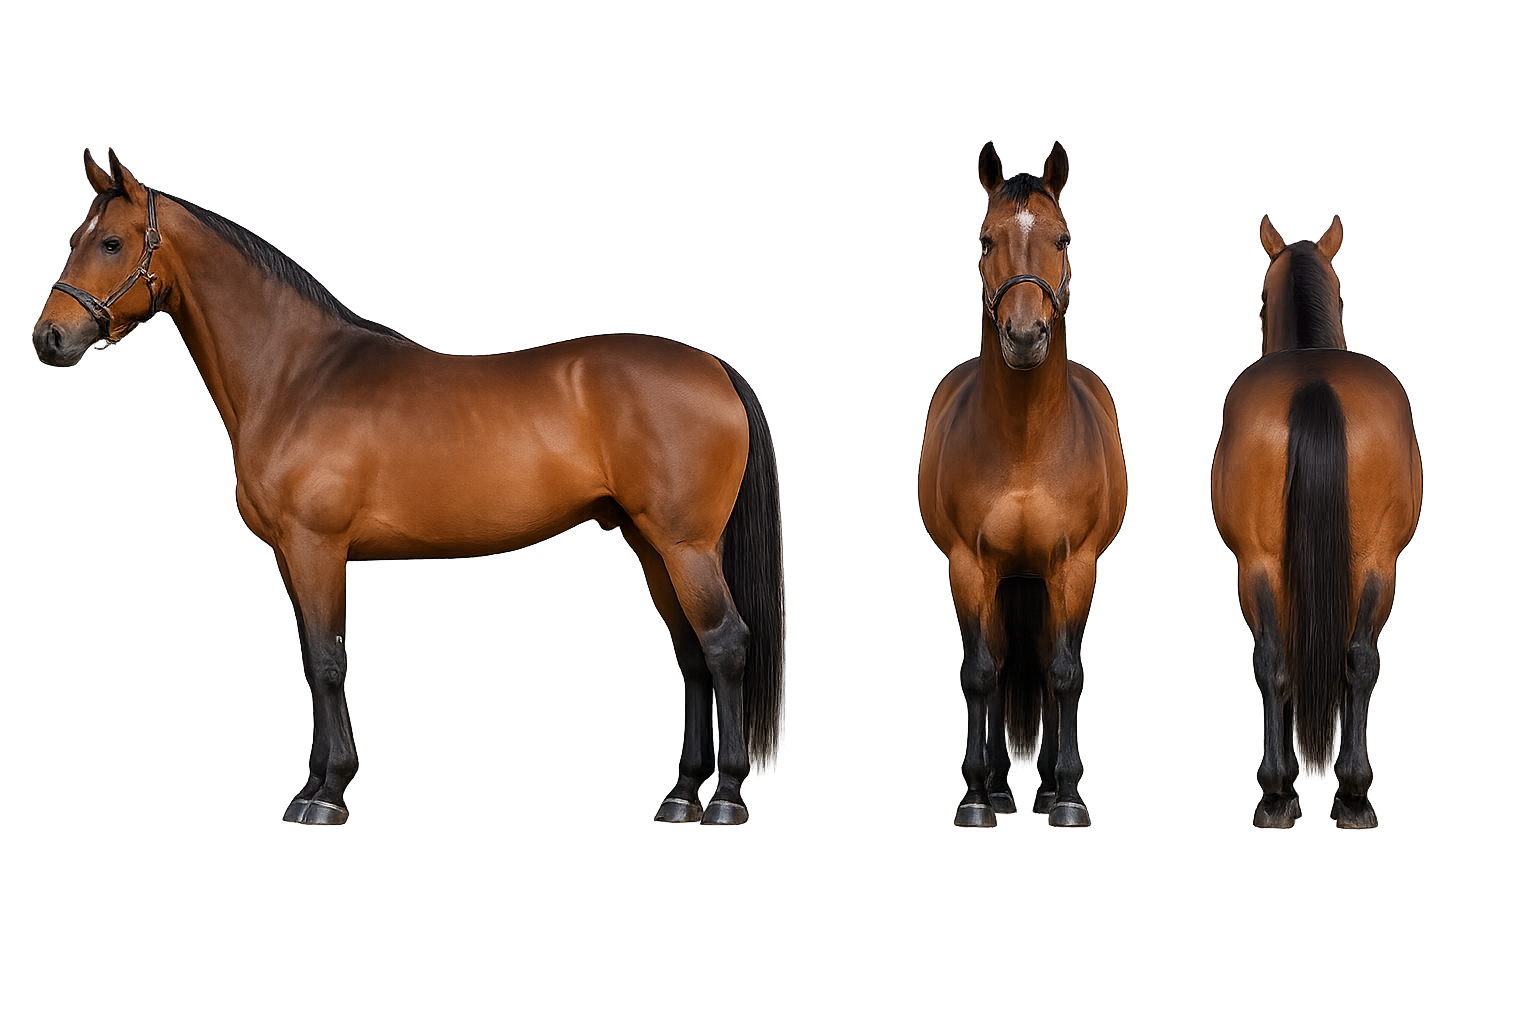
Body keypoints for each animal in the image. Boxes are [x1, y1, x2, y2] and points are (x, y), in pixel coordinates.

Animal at [31, 150, 783, 827]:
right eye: (73, 239)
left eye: (111, 241)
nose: (49, 338)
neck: (297, 376)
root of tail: (713, 366)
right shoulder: (288, 555)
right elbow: (310, 659)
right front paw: (314, 781)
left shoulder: (316, 547)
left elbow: (326, 661)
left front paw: (326, 794)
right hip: (648, 545)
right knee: (690, 656)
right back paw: (680, 794)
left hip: (685, 546)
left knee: (725, 644)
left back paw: (725, 798)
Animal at [918, 142, 1127, 828]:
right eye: (986, 240)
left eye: (1063, 237)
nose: (1026, 336)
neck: (1027, 448)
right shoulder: (968, 565)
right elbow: (982, 672)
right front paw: (977, 795)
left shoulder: (1075, 565)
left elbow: (1064, 672)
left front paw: (1068, 796)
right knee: (1007, 656)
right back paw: (1006, 787)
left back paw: (1040, 789)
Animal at [1211, 215, 1421, 829]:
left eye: (1261, 301)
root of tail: (1315, 382)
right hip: (1369, 561)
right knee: (1344, 659)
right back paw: (1333, 792)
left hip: (1266, 563)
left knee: (1285, 659)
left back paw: (1289, 792)